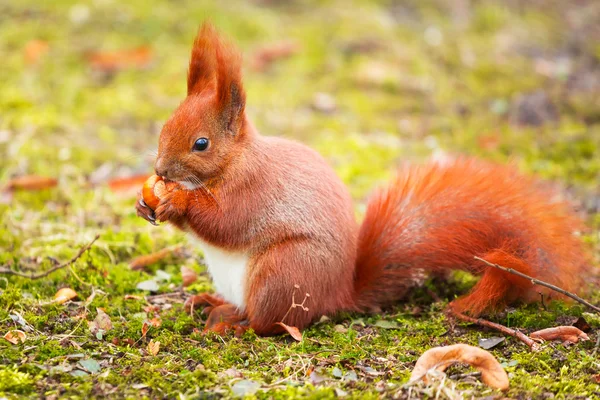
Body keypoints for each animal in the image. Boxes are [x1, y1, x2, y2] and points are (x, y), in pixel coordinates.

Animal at [135, 23, 584, 338]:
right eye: (164, 127)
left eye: (201, 144)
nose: (161, 171)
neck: (236, 161)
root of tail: (337, 295)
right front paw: (145, 203)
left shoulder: (255, 190)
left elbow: (226, 222)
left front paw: (178, 203)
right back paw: (211, 302)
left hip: (283, 272)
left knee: (269, 323)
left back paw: (234, 324)